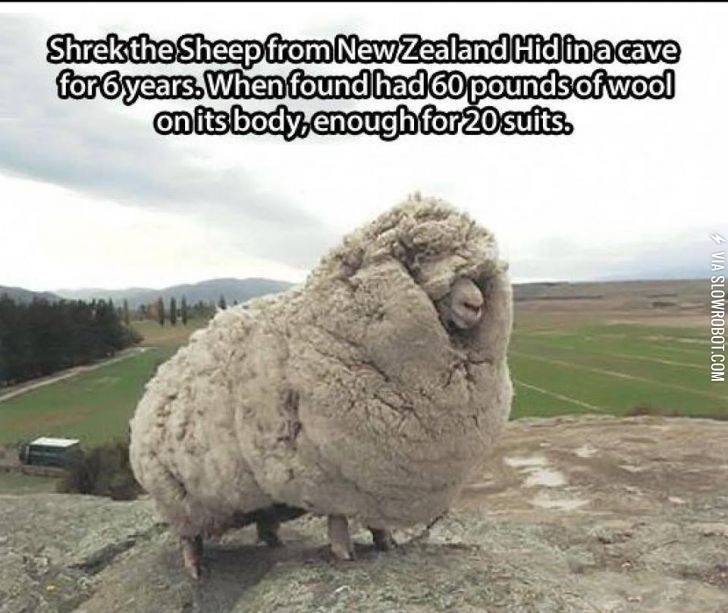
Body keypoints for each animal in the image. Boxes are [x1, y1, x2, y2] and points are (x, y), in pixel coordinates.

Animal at [129, 195, 513, 578]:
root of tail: (154, 383)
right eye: (419, 259)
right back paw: (195, 567)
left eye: (476, 276)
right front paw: (344, 553)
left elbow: (375, 522)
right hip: (179, 496)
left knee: (262, 517)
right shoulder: (329, 479)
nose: (475, 304)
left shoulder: (373, 486)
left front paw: (385, 542)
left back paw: (272, 540)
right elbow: (338, 520)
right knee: (188, 534)